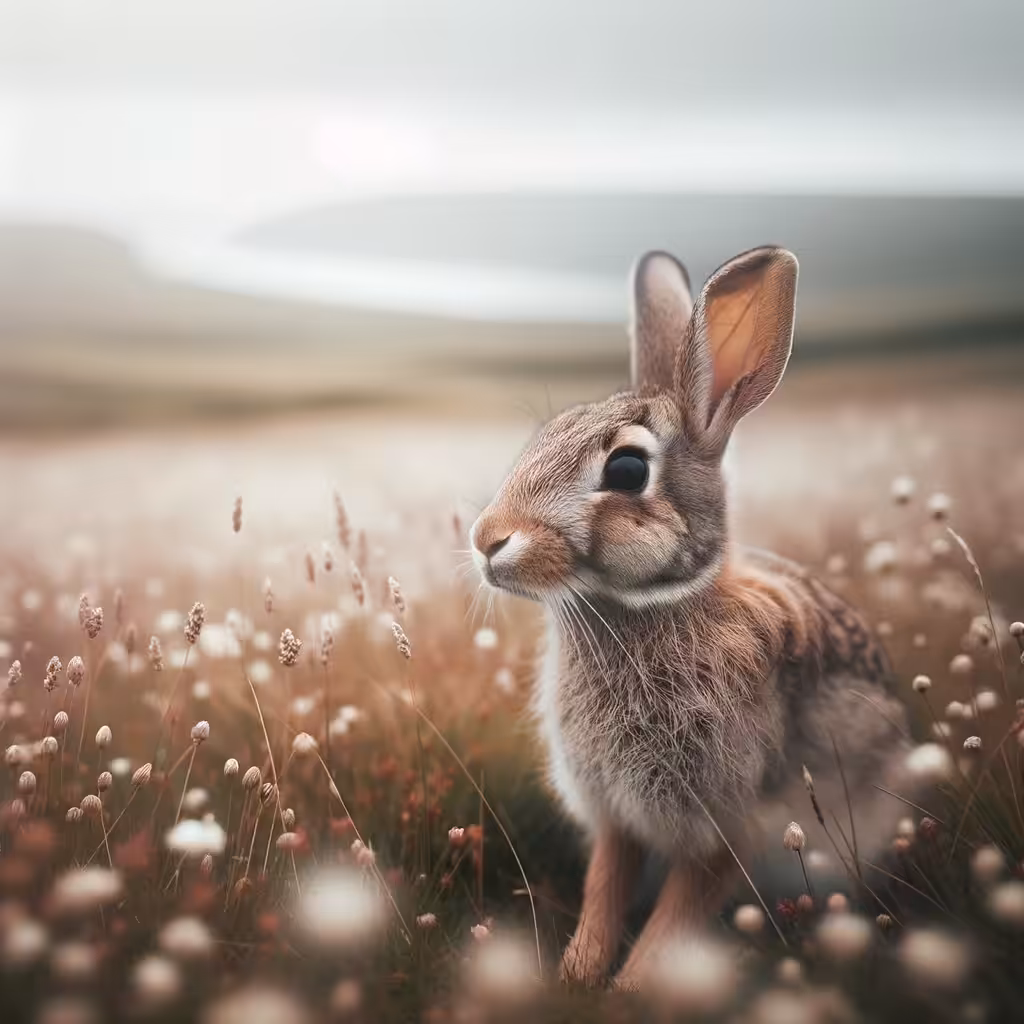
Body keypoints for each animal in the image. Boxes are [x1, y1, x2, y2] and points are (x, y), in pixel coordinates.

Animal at [470, 247, 912, 988]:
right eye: (543, 437)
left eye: (626, 469)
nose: (487, 539)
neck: (649, 606)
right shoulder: (616, 817)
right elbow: (604, 888)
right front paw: (578, 975)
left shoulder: (732, 819)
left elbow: (680, 911)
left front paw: (630, 989)